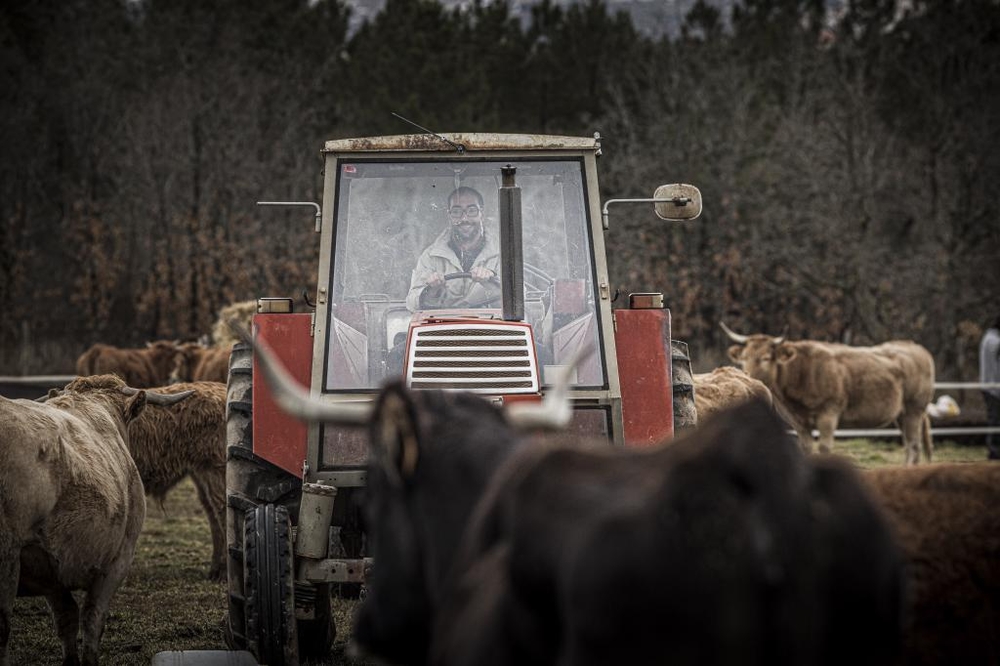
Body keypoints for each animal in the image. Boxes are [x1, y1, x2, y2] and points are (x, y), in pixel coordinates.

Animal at [724, 322, 932, 462]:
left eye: (766, 358)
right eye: (743, 358)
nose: (747, 375)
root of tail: (913, 346)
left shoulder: (829, 413)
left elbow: (824, 447)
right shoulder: (798, 422)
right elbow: (806, 448)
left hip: (914, 409)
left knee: (914, 445)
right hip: (902, 415)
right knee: (909, 445)